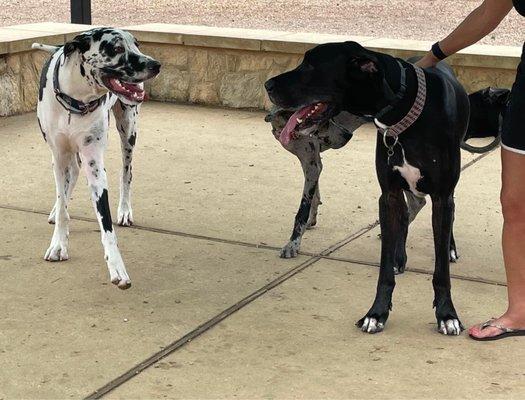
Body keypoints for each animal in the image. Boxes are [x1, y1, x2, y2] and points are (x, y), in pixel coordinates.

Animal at [33, 28, 160, 290]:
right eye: (117, 48)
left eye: (137, 44)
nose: (156, 65)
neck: (76, 100)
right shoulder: (58, 156)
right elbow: (62, 201)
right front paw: (59, 243)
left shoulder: (94, 164)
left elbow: (106, 223)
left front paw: (117, 266)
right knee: (71, 175)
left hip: (128, 129)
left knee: (127, 173)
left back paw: (125, 210)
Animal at [264, 41, 468, 334]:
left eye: (311, 65)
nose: (267, 84)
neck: (407, 112)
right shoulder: (388, 195)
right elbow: (384, 266)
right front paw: (377, 313)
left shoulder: (441, 195)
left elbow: (441, 270)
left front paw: (447, 314)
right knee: (407, 213)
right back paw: (399, 256)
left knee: (444, 213)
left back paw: (448, 247)